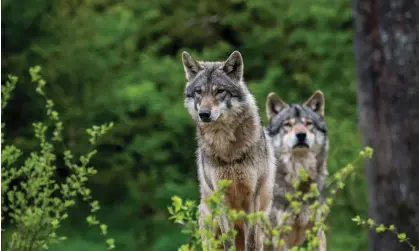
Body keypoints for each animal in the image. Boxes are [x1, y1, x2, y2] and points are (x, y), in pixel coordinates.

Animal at [181, 51, 278, 251]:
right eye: (199, 92)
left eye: (220, 91)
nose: (204, 114)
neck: (227, 149)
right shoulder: (222, 199)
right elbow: (228, 242)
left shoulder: (251, 197)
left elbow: (251, 243)